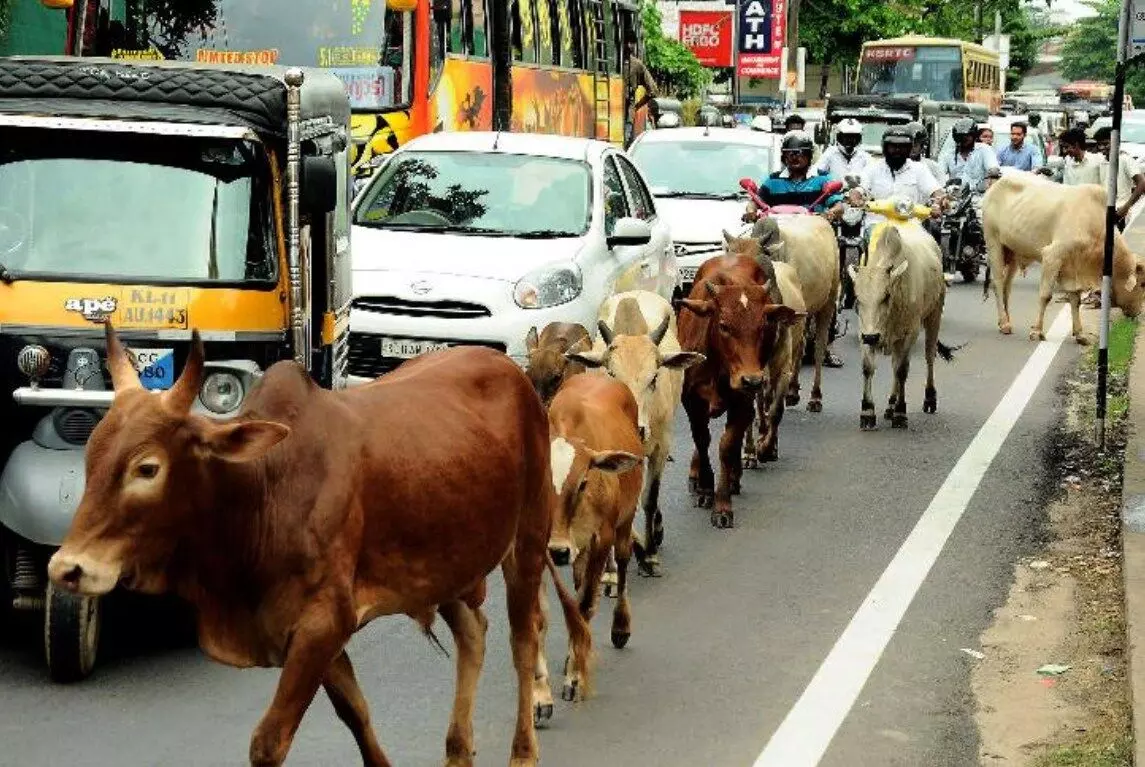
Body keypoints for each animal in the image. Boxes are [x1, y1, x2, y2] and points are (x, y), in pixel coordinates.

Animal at [48, 325, 590, 767]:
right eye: (91, 454)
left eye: (147, 467)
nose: (67, 569)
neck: (263, 490)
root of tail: (514, 371)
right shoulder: (313, 633)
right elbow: (357, 716)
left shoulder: (324, 621)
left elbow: (269, 741)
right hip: (447, 563)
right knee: (474, 633)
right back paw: (458, 750)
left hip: (526, 544)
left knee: (524, 639)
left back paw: (524, 748)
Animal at [535, 375, 645, 714]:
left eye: (583, 482)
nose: (557, 550)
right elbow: (539, 617)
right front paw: (539, 696)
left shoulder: (601, 539)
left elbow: (584, 606)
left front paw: (573, 679)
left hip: (625, 521)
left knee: (621, 564)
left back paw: (620, 627)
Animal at [673, 254, 801, 528]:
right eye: (723, 325)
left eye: (763, 326)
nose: (751, 379)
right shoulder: (691, 401)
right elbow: (702, 439)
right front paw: (705, 488)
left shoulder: (742, 400)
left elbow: (727, 445)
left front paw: (722, 504)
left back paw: (735, 476)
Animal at [980, 174, 1145, 345]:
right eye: (1143, 284)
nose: (1137, 312)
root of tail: (996, 184)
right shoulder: (1052, 256)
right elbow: (1045, 296)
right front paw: (1037, 331)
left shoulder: (1072, 268)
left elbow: (1075, 300)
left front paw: (1079, 334)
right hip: (994, 243)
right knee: (998, 284)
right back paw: (1004, 324)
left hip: (1013, 252)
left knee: (1007, 287)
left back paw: (1005, 320)